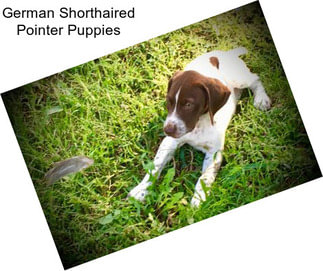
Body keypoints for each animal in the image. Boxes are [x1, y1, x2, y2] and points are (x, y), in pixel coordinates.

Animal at [128, 47, 272, 207]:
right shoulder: (170, 142)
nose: (167, 130)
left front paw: (198, 199)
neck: (198, 125)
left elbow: (205, 177)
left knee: (255, 78)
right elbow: (155, 165)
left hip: (239, 78)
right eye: (169, 101)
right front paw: (141, 189)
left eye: (188, 104)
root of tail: (227, 53)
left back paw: (261, 99)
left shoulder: (214, 152)